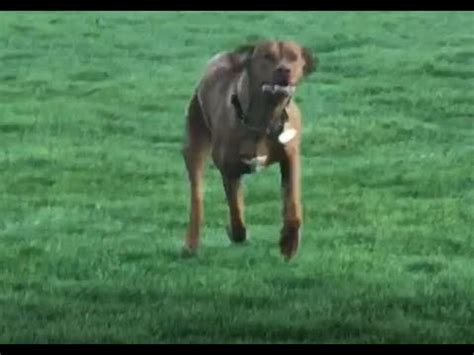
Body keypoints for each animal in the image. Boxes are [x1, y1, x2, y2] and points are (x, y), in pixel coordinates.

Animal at [180, 39, 316, 262]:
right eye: (267, 56)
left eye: (294, 57)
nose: (284, 70)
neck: (264, 121)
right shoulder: (228, 168)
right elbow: (235, 207)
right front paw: (237, 233)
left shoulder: (291, 156)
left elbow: (293, 204)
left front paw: (288, 243)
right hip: (195, 138)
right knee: (197, 198)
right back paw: (191, 244)